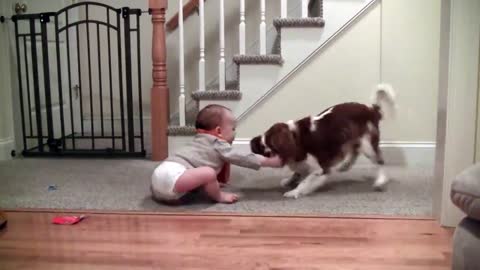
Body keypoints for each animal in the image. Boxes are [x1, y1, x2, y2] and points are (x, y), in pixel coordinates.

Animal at [249, 84, 396, 198]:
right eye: (263, 145)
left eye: (270, 148)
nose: (252, 144)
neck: (296, 137)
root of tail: (371, 109)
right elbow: (298, 172)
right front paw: (289, 181)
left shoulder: (320, 169)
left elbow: (305, 182)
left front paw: (294, 192)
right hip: (351, 139)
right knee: (354, 151)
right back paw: (345, 165)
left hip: (367, 144)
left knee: (379, 161)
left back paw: (380, 181)